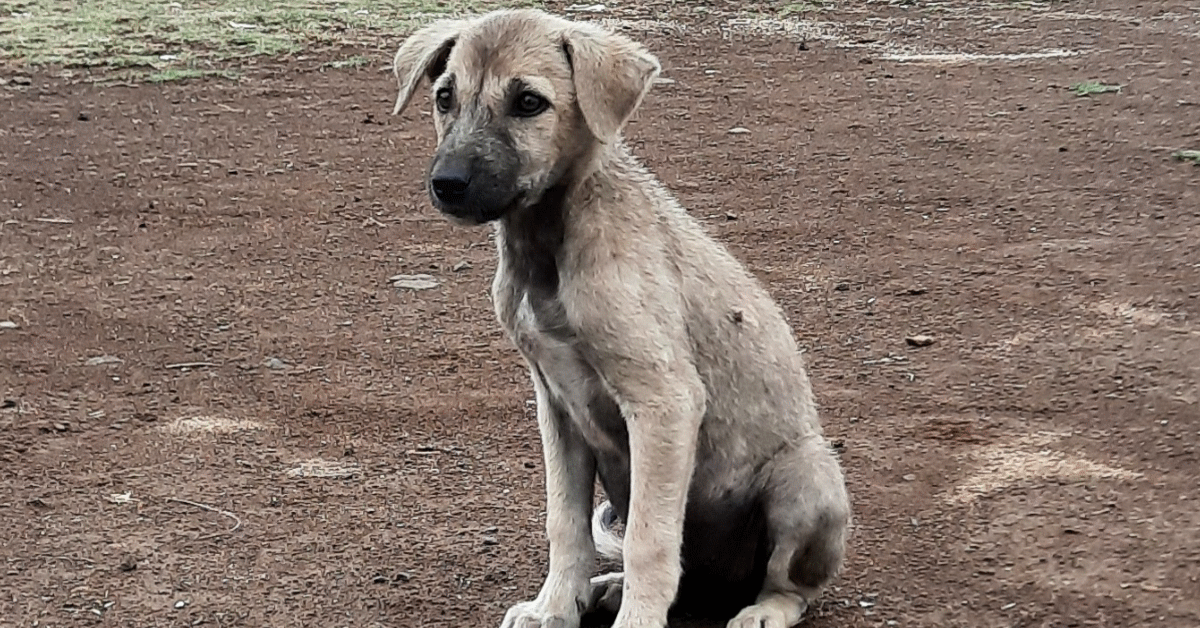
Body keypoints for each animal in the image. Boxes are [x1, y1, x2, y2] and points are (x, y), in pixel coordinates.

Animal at [388, 9, 849, 628]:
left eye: (528, 102)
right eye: (444, 97)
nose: (448, 183)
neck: (549, 249)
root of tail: (720, 585)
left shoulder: (664, 401)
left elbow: (650, 540)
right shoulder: (556, 404)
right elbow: (565, 523)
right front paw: (555, 605)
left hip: (808, 473)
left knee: (789, 586)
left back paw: (762, 610)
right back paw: (608, 586)